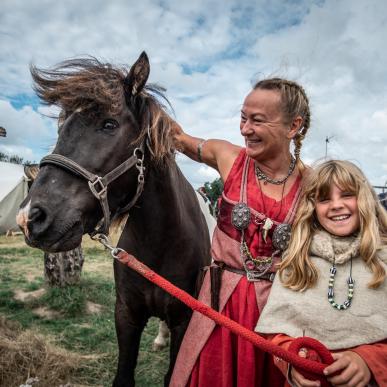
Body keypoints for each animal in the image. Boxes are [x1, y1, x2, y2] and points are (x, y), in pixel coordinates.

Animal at [16, 52, 212, 387]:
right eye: (61, 129)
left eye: (109, 124)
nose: (30, 217)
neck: (162, 243)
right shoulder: (126, 314)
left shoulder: (184, 321)